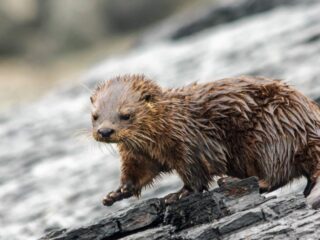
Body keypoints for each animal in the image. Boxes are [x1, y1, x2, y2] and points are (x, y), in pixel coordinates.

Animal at [89, 74, 320, 208]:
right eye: (95, 116)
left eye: (126, 115)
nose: (105, 131)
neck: (169, 122)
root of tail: (309, 127)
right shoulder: (137, 154)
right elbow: (137, 173)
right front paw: (116, 194)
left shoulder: (190, 142)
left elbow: (195, 173)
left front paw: (178, 194)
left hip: (270, 133)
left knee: (277, 172)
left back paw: (232, 181)